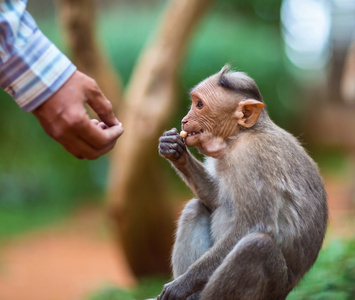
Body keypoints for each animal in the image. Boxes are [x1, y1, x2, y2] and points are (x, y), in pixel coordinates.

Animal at [158, 66, 328, 300]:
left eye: (199, 105)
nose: (184, 120)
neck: (240, 135)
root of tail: (285, 293)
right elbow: (215, 201)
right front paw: (174, 149)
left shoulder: (253, 158)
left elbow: (254, 225)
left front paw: (181, 285)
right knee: (195, 207)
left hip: (273, 290)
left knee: (256, 247)